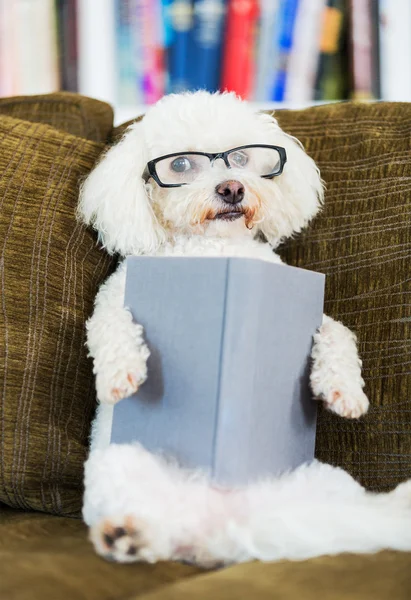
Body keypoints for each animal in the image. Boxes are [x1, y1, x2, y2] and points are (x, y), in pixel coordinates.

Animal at [78, 92, 411, 568]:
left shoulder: (308, 307)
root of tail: (227, 526)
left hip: (319, 485)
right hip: (121, 464)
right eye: (181, 165)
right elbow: (111, 326)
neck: (214, 248)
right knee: (158, 526)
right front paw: (122, 374)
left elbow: (337, 332)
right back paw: (126, 534)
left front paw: (345, 391)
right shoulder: (112, 300)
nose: (232, 188)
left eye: (240, 158)